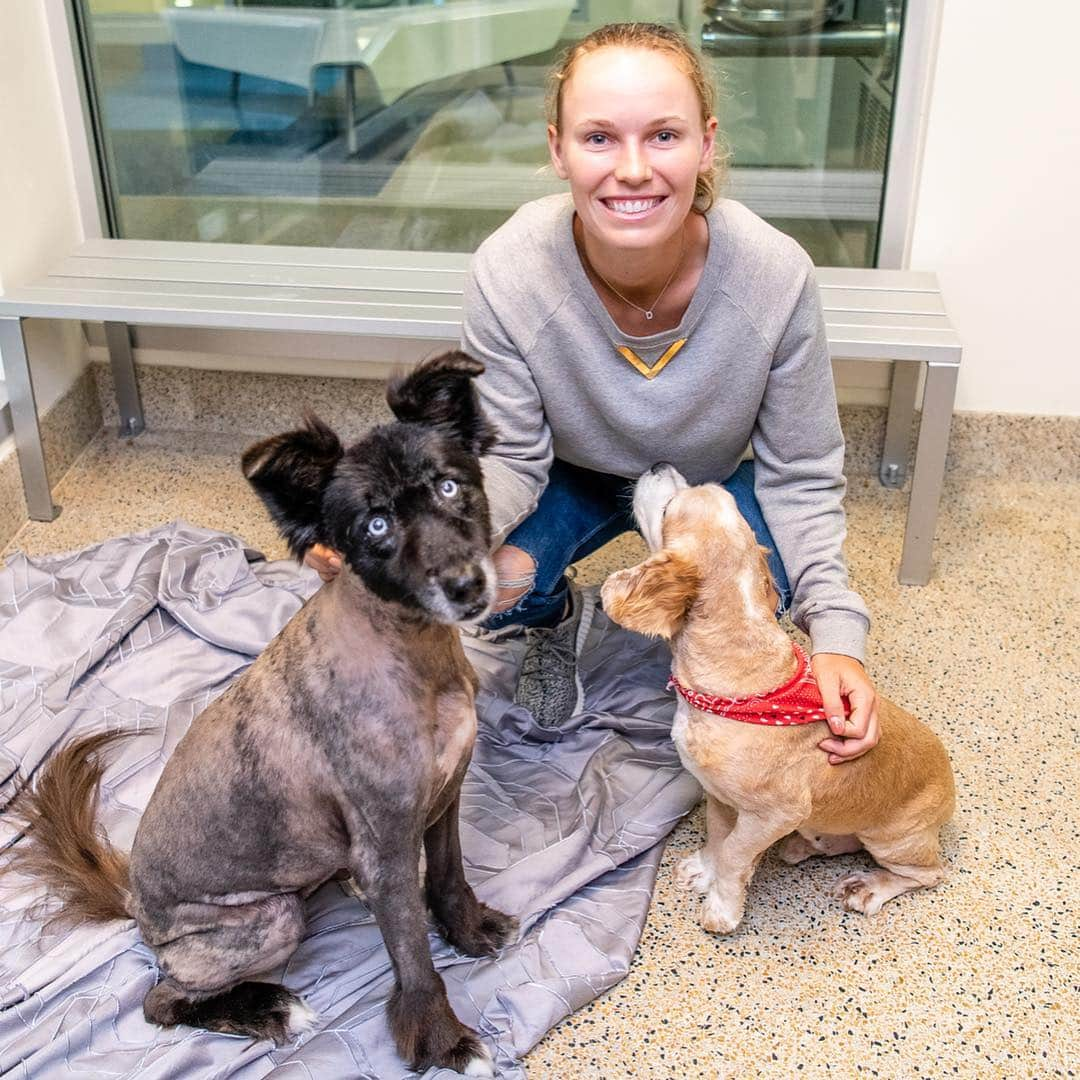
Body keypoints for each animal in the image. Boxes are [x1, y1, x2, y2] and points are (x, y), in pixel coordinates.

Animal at [4, 352, 516, 1071]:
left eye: (449, 487)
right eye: (375, 526)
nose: (468, 585)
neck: (414, 656)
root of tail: (136, 902)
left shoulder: (443, 798)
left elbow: (448, 877)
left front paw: (468, 930)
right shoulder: (388, 842)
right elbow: (414, 958)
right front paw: (442, 1040)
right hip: (269, 921)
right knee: (160, 1001)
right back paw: (266, 1007)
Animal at [600, 466, 954, 937]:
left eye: (669, 508)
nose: (659, 464)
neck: (739, 683)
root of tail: (950, 790)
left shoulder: (774, 814)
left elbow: (735, 852)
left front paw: (723, 906)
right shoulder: (719, 796)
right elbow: (718, 835)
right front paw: (706, 869)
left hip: (893, 840)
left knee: (929, 874)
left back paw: (871, 887)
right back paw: (809, 846)